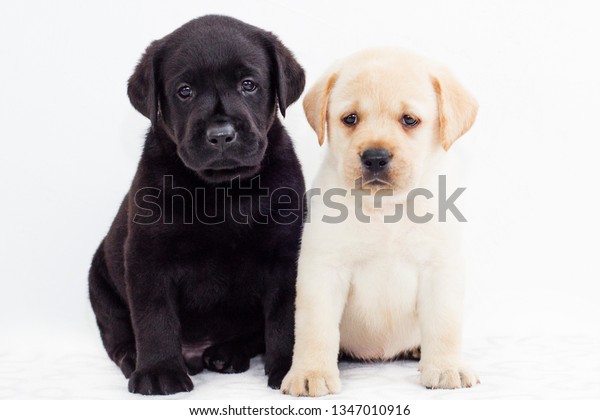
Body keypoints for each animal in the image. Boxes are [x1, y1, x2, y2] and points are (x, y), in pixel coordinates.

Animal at [88, 13, 304, 394]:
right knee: (117, 334)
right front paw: (159, 371)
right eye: (184, 91)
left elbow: (284, 317)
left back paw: (228, 353)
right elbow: (154, 317)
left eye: (249, 84)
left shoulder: (286, 255)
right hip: (98, 282)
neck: (223, 191)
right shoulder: (148, 257)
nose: (220, 135)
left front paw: (290, 369)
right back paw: (135, 359)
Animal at [282, 49, 478, 398]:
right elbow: (315, 328)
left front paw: (446, 367)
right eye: (350, 119)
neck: (385, 209)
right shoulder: (323, 268)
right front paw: (310, 372)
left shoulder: (441, 267)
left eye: (409, 120)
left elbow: (444, 323)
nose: (375, 157)